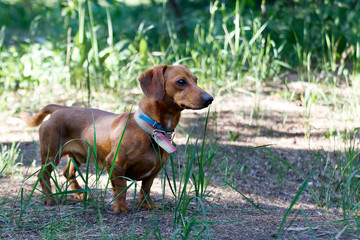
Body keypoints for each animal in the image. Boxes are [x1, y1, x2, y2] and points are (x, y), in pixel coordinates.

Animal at [21, 64, 212, 213]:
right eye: (181, 81)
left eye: (195, 79)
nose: (210, 98)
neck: (150, 129)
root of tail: (60, 108)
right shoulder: (115, 164)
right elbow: (120, 189)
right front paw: (120, 208)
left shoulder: (154, 171)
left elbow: (146, 188)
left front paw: (147, 205)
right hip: (50, 155)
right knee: (44, 175)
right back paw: (49, 198)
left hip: (78, 157)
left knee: (68, 173)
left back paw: (79, 193)